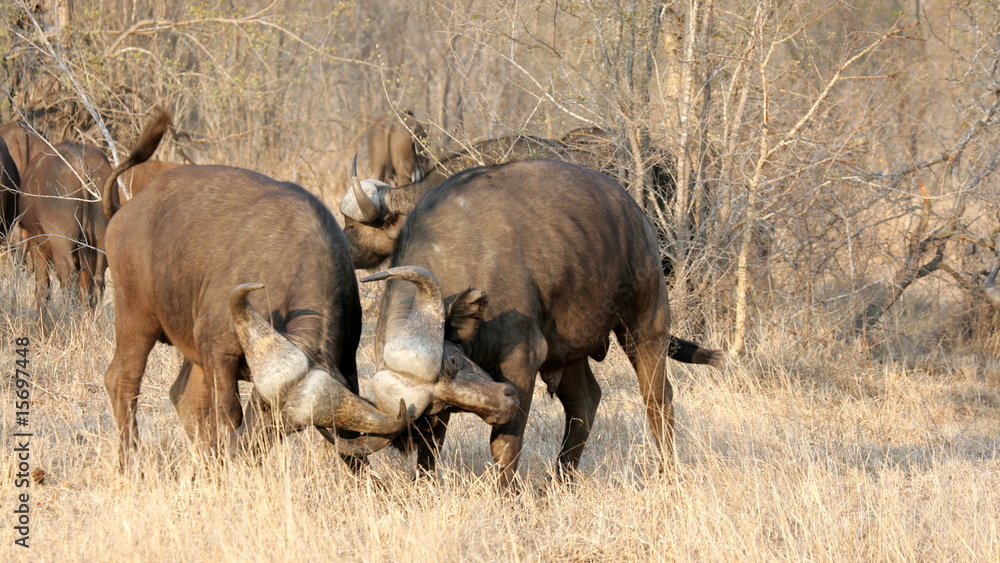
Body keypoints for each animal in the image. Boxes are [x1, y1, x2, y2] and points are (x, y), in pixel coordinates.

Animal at [101, 111, 407, 468]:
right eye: (260, 403)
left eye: (289, 428)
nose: (246, 447)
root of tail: (126, 210)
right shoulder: (219, 352)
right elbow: (228, 413)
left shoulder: (345, 363)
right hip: (136, 319)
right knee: (122, 381)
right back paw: (131, 460)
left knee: (183, 397)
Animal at [359, 159, 722, 490]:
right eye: (439, 406)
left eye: (453, 361)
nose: (506, 403)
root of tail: (633, 208)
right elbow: (430, 448)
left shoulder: (523, 357)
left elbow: (504, 444)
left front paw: (509, 499)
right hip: (568, 352)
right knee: (585, 402)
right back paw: (559, 482)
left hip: (645, 324)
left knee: (658, 399)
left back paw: (667, 475)